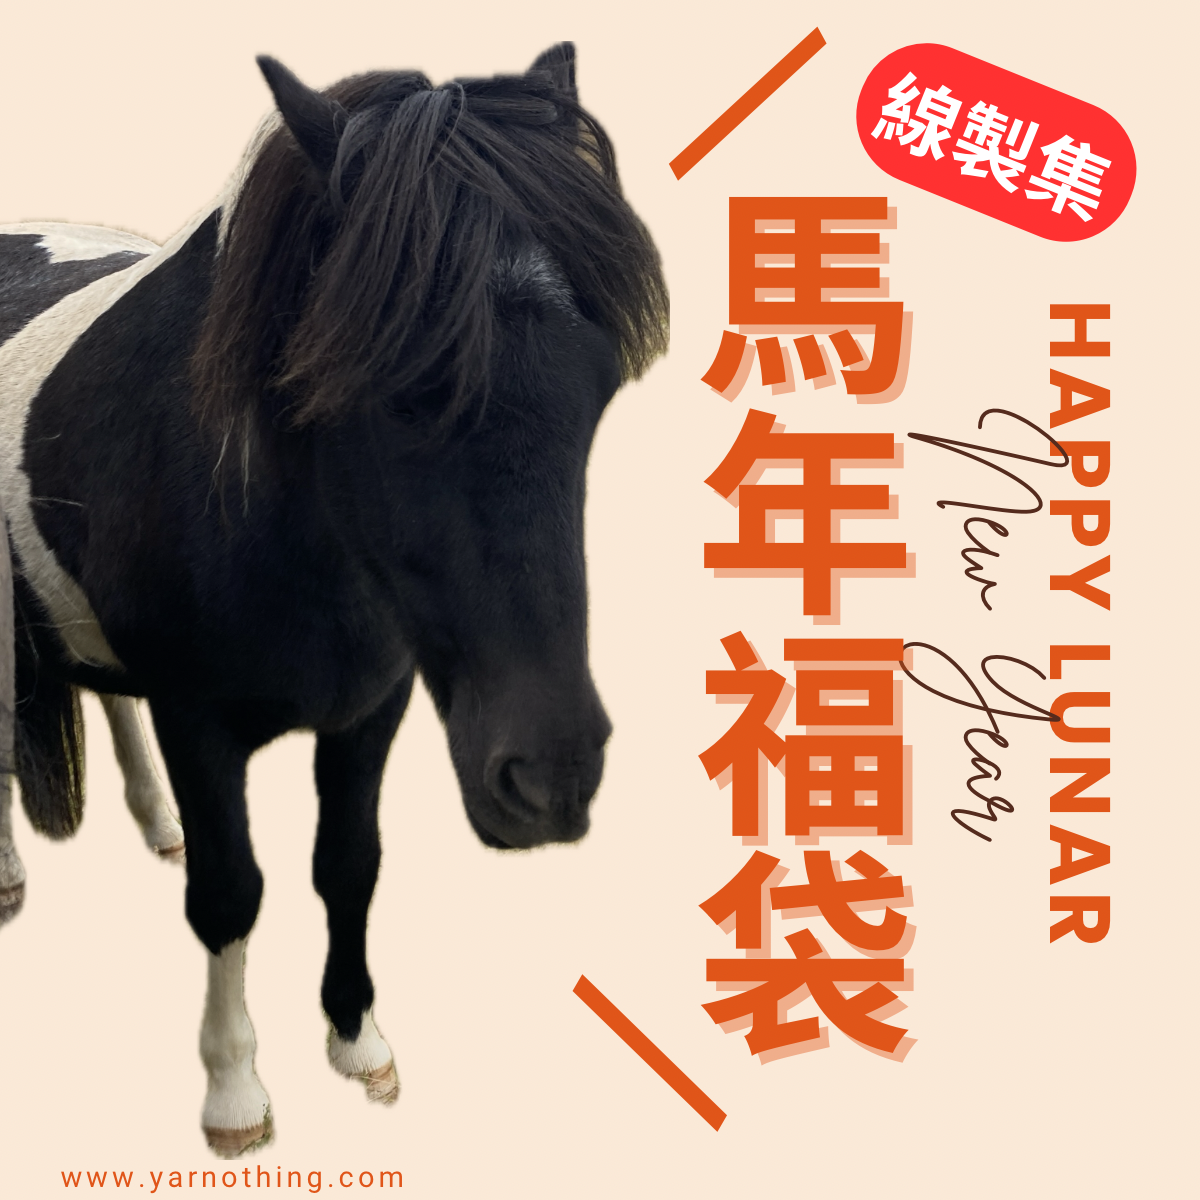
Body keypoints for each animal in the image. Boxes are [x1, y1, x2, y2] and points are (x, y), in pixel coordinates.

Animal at [0, 43, 667, 1156]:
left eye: (600, 387)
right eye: (392, 389)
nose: (551, 778)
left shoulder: (372, 706)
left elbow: (347, 864)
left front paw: (360, 1043)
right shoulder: (197, 720)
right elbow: (230, 895)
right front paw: (235, 1092)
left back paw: (150, 819)